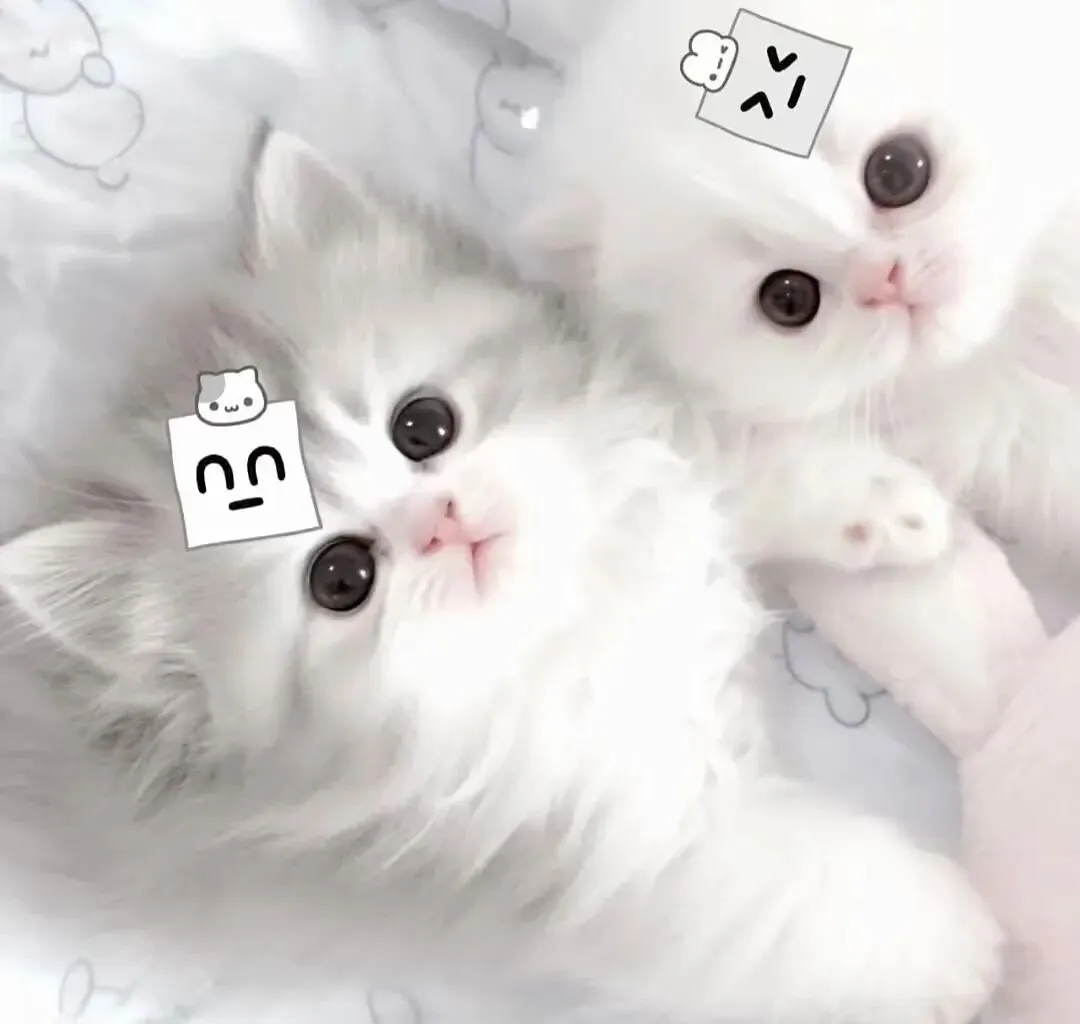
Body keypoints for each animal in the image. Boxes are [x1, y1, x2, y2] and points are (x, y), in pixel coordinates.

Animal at [0, 132, 1000, 1024]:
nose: (440, 521)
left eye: (423, 426)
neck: (564, 614)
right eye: (340, 578)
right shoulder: (630, 860)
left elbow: (716, 459)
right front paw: (965, 951)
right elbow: (812, 894)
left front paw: (883, 508)